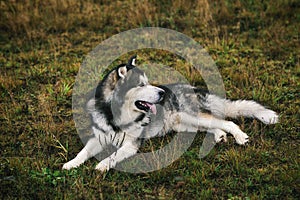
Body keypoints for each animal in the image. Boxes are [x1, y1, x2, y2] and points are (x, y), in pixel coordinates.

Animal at [61, 55, 278, 171]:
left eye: (148, 82)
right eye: (141, 85)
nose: (162, 93)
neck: (115, 117)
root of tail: (192, 87)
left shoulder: (131, 145)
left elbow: (114, 154)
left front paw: (103, 165)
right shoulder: (98, 138)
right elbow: (83, 152)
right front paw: (71, 164)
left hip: (191, 115)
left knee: (226, 122)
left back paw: (239, 136)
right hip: (184, 124)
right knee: (212, 125)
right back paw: (219, 136)